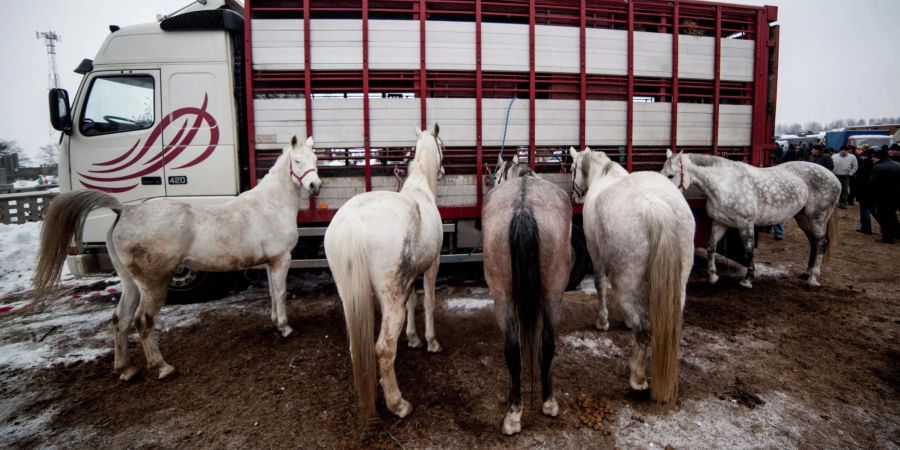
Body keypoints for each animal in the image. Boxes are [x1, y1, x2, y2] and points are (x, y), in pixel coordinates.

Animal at [35, 136, 324, 380]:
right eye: (297, 161)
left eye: (315, 159)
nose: (315, 186)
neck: (270, 205)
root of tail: (125, 211)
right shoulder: (281, 259)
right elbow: (281, 293)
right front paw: (285, 328)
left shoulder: (269, 262)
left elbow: (273, 294)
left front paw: (276, 322)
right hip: (154, 284)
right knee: (143, 320)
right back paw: (163, 367)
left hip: (130, 283)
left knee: (121, 319)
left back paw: (126, 370)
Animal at [326, 122, 446, 418]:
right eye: (443, 146)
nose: (443, 170)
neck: (421, 190)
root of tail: (353, 222)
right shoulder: (432, 265)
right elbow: (428, 301)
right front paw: (431, 342)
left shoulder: (409, 277)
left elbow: (412, 300)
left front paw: (413, 339)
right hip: (390, 301)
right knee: (383, 349)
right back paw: (398, 404)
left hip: (350, 295)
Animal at [486, 156, 568, 434]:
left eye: (496, 174)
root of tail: (524, 207)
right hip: (553, 292)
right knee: (548, 343)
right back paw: (549, 402)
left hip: (501, 297)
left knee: (512, 348)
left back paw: (513, 413)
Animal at [572, 147, 692, 404]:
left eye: (573, 167)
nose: (575, 195)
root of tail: (654, 207)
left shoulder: (595, 252)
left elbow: (600, 285)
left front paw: (603, 321)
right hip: (678, 285)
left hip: (625, 282)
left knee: (644, 327)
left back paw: (637, 379)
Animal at [656, 151, 840, 288]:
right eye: (661, 174)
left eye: (671, 175)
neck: (725, 184)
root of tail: (834, 178)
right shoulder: (719, 222)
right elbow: (711, 247)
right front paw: (713, 277)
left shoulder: (746, 223)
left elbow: (749, 250)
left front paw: (747, 280)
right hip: (803, 218)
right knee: (813, 242)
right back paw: (807, 272)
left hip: (818, 218)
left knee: (821, 242)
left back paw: (813, 278)